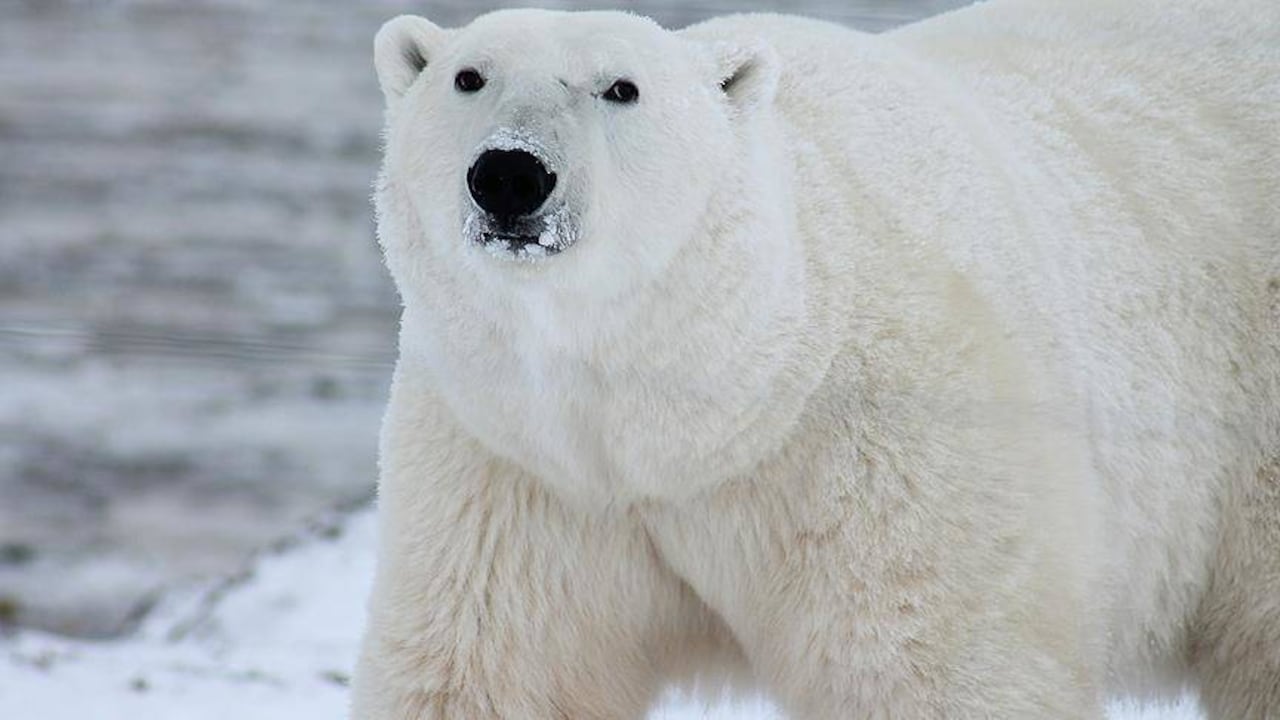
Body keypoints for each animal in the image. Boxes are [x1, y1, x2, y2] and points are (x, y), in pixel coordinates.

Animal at [351, 2, 1280, 718]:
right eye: (469, 77)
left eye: (621, 88)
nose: (510, 174)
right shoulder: (519, 467)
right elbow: (491, 669)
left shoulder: (890, 450)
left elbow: (934, 666)